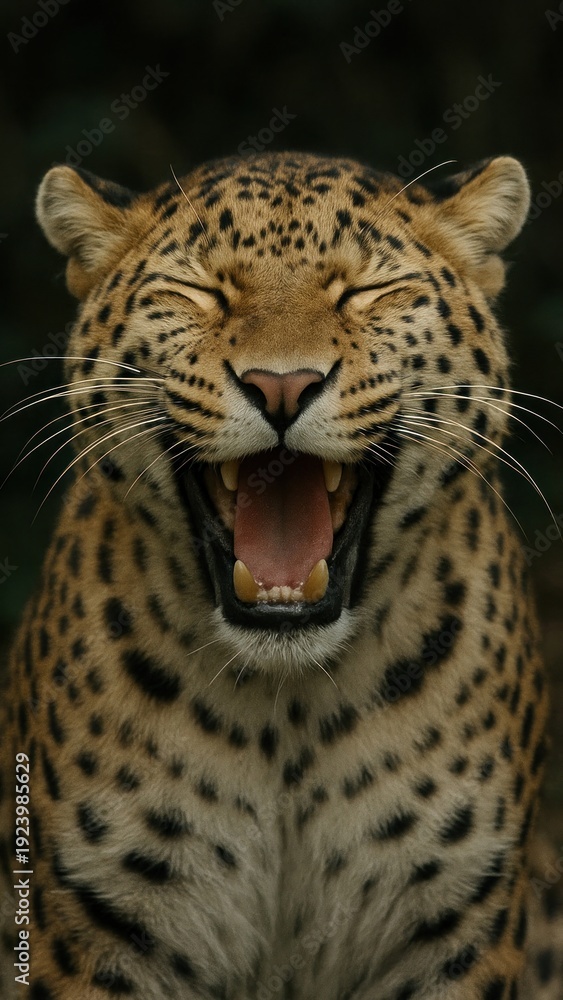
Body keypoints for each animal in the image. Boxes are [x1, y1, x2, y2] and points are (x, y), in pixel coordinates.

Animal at [1, 150, 562, 1000]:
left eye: (367, 291)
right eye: (198, 291)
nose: (281, 385)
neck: (287, 708)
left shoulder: (453, 930)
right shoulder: (96, 931)